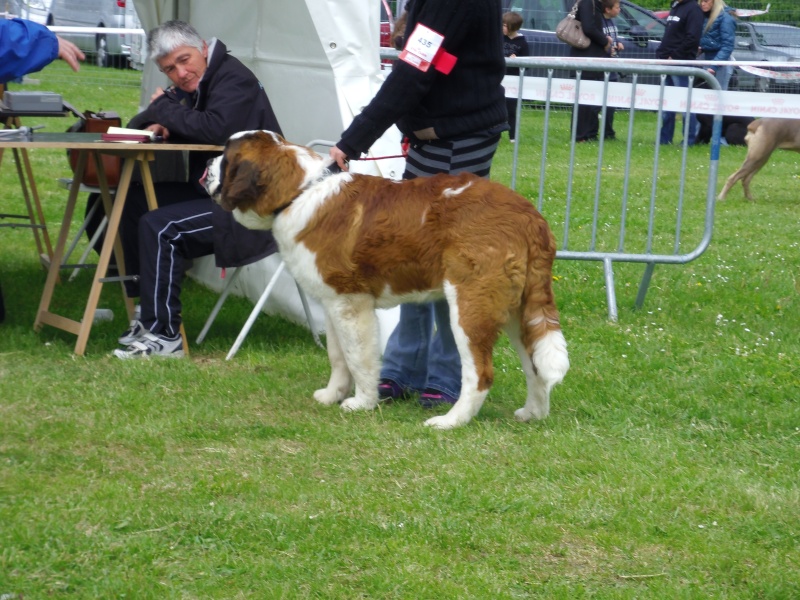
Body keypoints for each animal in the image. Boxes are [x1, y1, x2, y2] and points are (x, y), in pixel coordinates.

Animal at [206, 132, 568, 432]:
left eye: (224, 158)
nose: (206, 166)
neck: (299, 192)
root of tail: (529, 216)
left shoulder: (351, 302)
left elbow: (358, 356)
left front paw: (362, 402)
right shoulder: (332, 301)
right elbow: (338, 355)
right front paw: (332, 394)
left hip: (470, 304)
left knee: (480, 373)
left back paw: (450, 421)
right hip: (517, 308)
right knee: (535, 364)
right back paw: (533, 414)